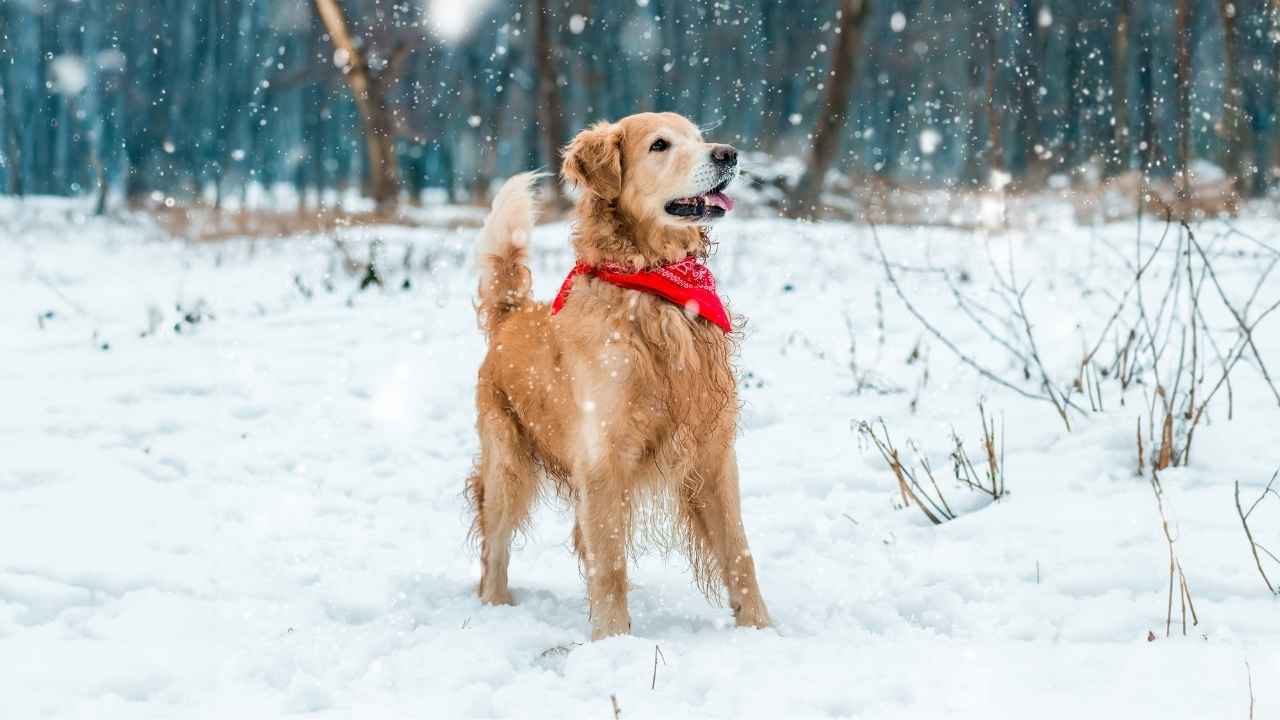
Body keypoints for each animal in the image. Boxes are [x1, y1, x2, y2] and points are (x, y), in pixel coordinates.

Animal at [471, 109, 768, 635]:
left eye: (698, 137)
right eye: (659, 145)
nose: (728, 153)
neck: (652, 286)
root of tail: (513, 312)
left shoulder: (712, 451)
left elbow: (739, 552)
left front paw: (760, 629)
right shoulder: (603, 458)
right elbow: (609, 566)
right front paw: (613, 639)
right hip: (507, 464)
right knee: (496, 547)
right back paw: (496, 609)